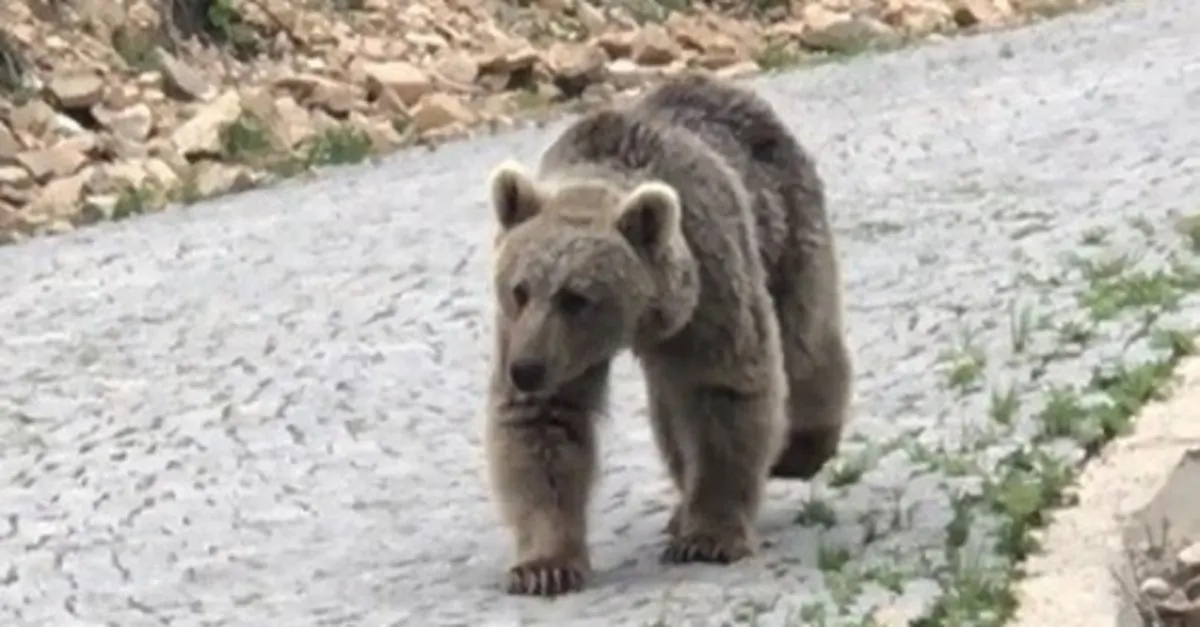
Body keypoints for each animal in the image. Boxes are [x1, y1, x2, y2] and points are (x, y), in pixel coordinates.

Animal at [480, 70, 854, 593]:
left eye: (576, 297)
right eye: (519, 289)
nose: (526, 369)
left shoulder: (710, 283)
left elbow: (725, 393)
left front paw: (709, 537)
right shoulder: (525, 337)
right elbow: (542, 428)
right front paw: (544, 567)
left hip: (785, 225)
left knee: (804, 342)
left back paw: (802, 446)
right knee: (670, 408)